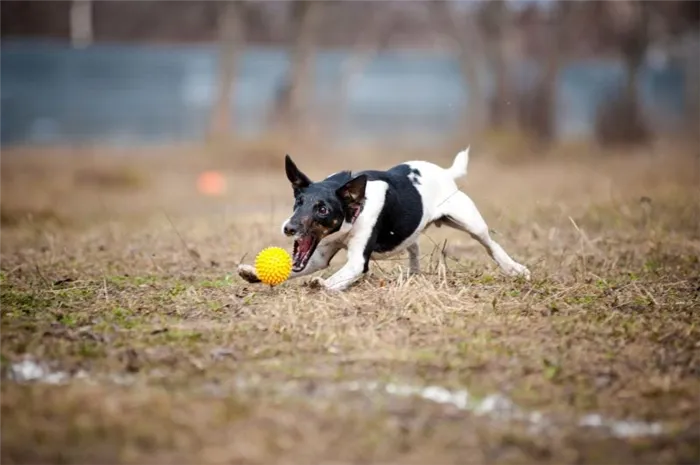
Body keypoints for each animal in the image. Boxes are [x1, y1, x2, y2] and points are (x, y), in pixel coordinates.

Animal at [237, 147, 532, 290]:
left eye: (323, 210)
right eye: (298, 203)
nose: (289, 228)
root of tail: (446, 173)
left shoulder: (358, 261)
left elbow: (338, 277)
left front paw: (322, 284)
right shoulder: (319, 255)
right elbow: (294, 268)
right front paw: (254, 273)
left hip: (471, 222)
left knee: (490, 244)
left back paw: (514, 268)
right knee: (413, 245)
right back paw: (413, 274)